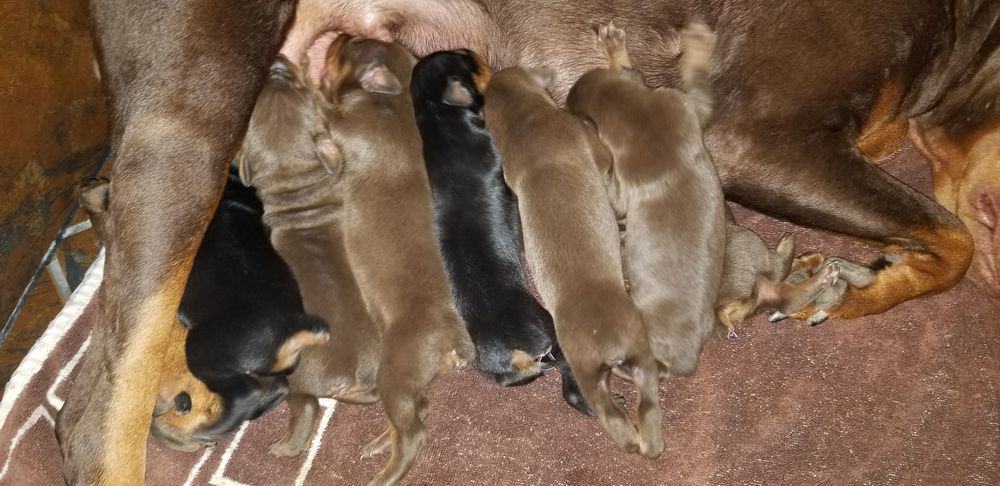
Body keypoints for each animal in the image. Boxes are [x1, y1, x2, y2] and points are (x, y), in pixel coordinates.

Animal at [234, 55, 382, 458]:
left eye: (299, 86)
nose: (278, 61)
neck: (297, 187)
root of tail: (348, 374)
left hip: (295, 376)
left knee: (310, 406)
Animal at [482, 66, 664, 458]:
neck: (526, 123)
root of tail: (604, 341)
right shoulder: (590, 144)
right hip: (624, 356)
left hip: (610, 370)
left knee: (625, 412)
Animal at [568, 24, 724, 378]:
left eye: (570, 105)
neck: (637, 112)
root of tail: (686, 357)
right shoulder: (687, 105)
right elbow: (697, 78)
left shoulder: (623, 185)